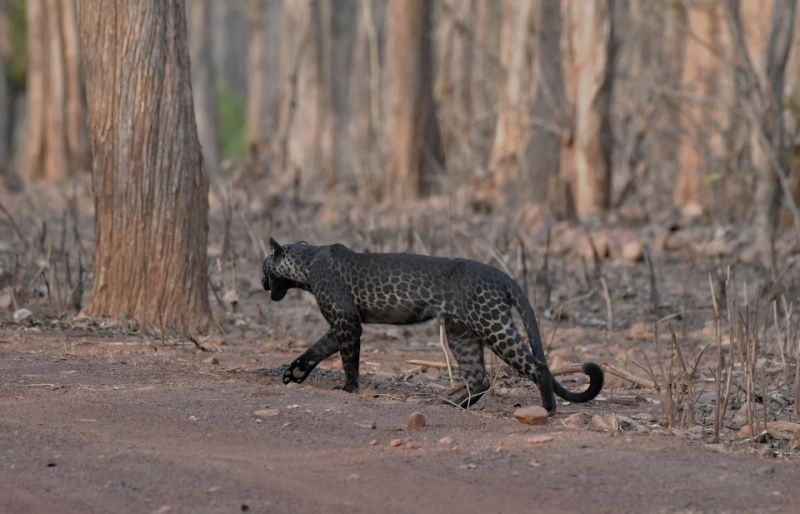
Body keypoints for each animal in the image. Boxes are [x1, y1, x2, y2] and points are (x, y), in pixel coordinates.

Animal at [260, 237, 604, 412]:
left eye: (263, 266)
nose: (261, 283)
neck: (306, 264)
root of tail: (500, 275)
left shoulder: (347, 320)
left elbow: (348, 358)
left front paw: (348, 388)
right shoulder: (340, 323)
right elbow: (318, 348)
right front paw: (294, 373)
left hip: (492, 324)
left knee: (536, 365)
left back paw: (547, 410)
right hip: (461, 333)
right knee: (479, 378)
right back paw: (454, 404)